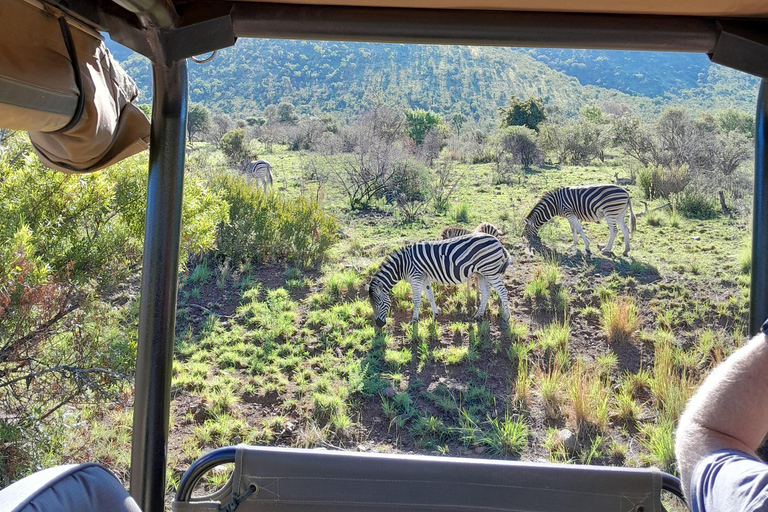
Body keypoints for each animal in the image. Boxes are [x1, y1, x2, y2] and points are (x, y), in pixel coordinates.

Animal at [366, 233, 510, 328]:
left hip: (490, 271)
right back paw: (478, 316)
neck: (402, 265)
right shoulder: (424, 279)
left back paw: (507, 317)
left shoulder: (416, 278)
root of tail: (497, 241)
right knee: (486, 292)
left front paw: (414, 320)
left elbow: (416, 300)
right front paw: (435, 314)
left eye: (379, 303)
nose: (379, 324)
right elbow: (430, 296)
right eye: (371, 304)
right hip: (482, 273)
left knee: (502, 291)